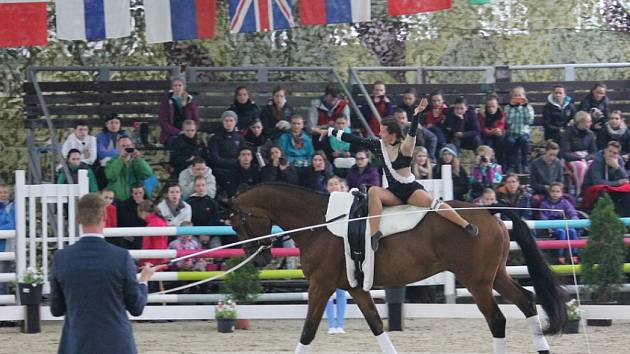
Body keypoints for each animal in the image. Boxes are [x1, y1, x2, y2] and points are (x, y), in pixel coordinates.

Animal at [231, 184, 568, 352]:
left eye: (238, 223)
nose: (258, 259)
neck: (320, 223)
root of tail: (487, 210)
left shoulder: (320, 286)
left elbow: (307, 332)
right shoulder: (355, 288)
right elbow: (377, 326)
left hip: (477, 283)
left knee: (497, 320)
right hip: (494, 276)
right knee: (526, 301)